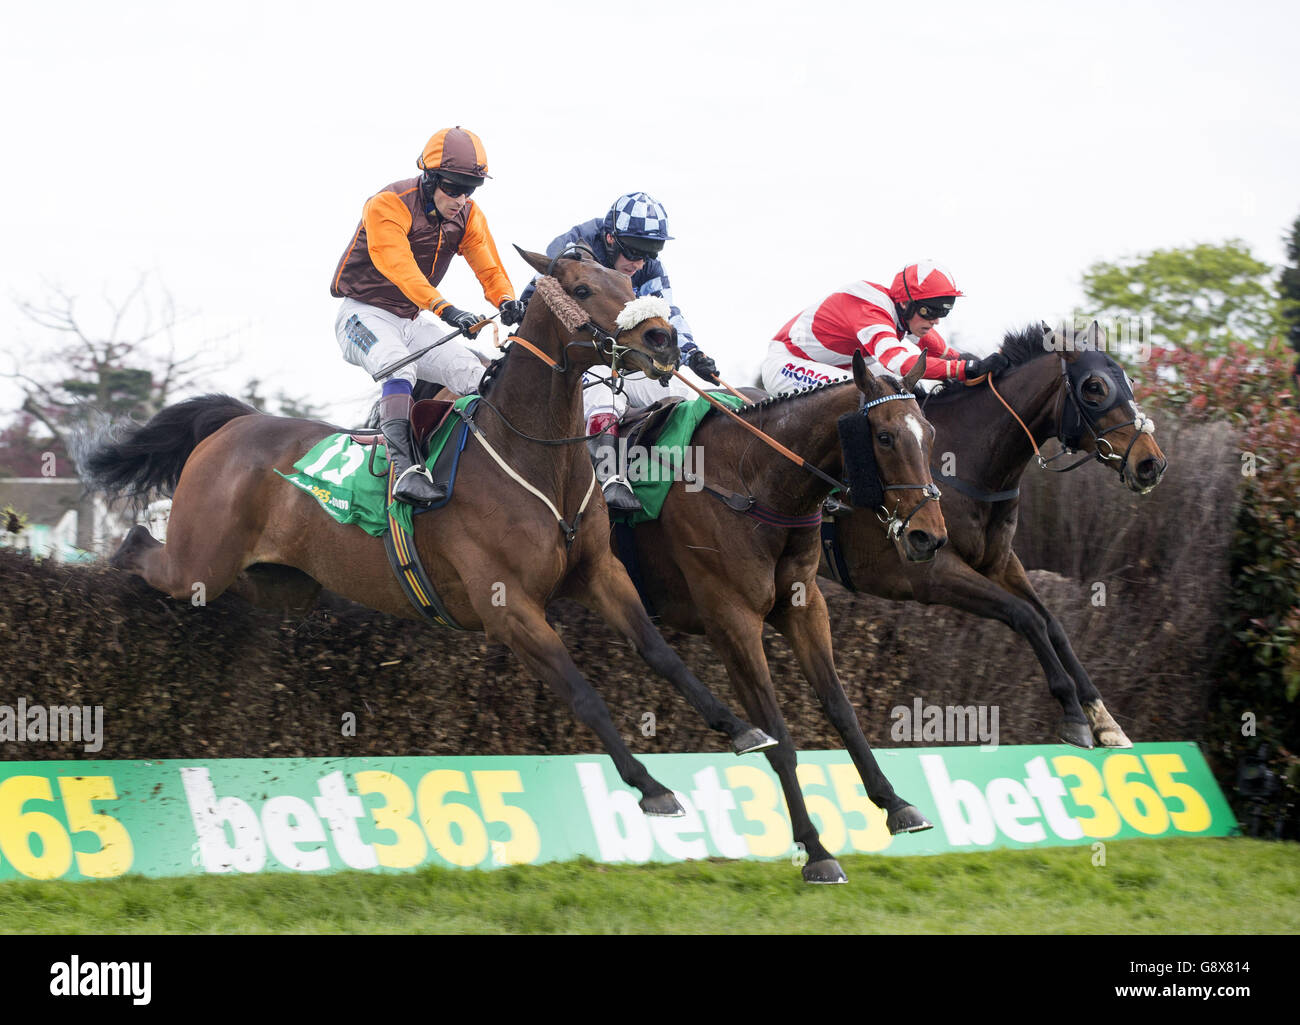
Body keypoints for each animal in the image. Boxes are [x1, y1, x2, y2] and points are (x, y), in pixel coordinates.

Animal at [81, 245, 774, 816]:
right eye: (580, 287)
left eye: (626, 281)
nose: (662, 340)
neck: (532, 455)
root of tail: (234, 423)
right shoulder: (507, 606)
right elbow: (581, 691)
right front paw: (651, 786)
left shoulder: (600, 572)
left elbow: (660, 653)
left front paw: (742, 727)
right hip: (200, 562)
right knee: (141, 548)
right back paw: (111, 568)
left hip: (281, 582)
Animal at [613, 351, 951, 879]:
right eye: (884, 436)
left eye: (930, 433)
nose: (928, 537)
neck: (750, 483)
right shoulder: (732, 621)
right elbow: (779, 738)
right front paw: (816, 849)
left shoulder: (804, 607)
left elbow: (841, 709)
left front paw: (894, 803)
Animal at [821, 323, 1170, 749]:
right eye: (1094, 387)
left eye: (1130, 382)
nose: (1151, 464)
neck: (960, 466)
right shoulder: (929, 573)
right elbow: (1026, 617)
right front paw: (1073, 713)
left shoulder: (1000, 563)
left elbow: (1053, 625)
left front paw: (1104, 719)